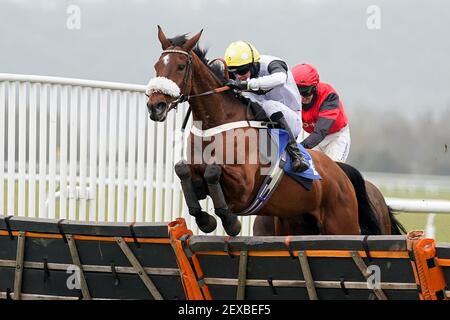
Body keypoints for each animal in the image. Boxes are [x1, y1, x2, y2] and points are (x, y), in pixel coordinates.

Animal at [146, 27, 388, 236]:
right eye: (157, 65)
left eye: (180, 66)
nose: (155, 106)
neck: (217, 123)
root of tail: (340, 172)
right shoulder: (196, 173)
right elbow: (183, 170)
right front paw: (205, 219)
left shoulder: (244, 187)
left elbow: (213, 171)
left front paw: (230, 222)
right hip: (295, 222)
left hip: (342, 223)